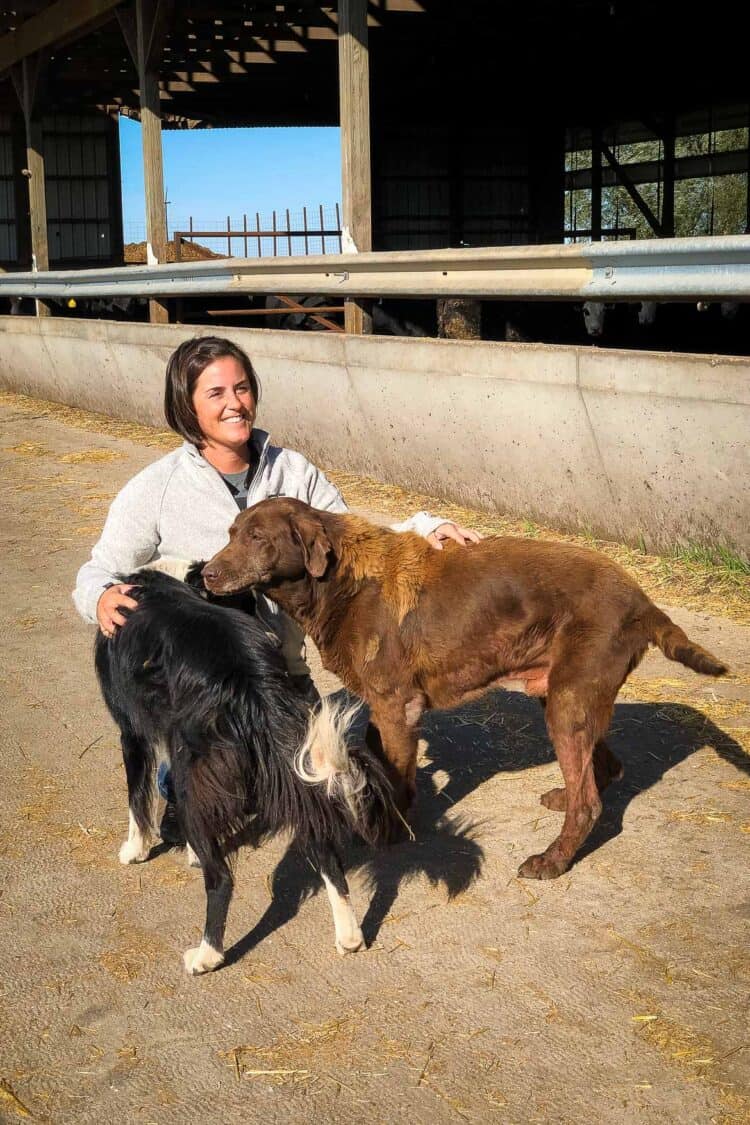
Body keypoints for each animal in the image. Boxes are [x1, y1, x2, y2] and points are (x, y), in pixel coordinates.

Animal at [95, 567, 398, 972]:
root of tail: (251, 683)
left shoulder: (132, 731)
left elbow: (136, 800)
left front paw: (134, 850)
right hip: (292, 776)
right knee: (328, 856)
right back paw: (349, 937)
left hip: (194, 776)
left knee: (222, 879)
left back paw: (207, 955)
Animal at [202, 499, 728, 877]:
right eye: (230, 534)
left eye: (257, 537)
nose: (207, 572)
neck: (340, 583)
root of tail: (643, 599)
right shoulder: (386, 709)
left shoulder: (397, 706)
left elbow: (397, 778)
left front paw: (393, 834)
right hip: (563, 693)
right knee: (603, 772)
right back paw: (568, 794)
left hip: (567, 702)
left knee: (590, 804)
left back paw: (552, 860)